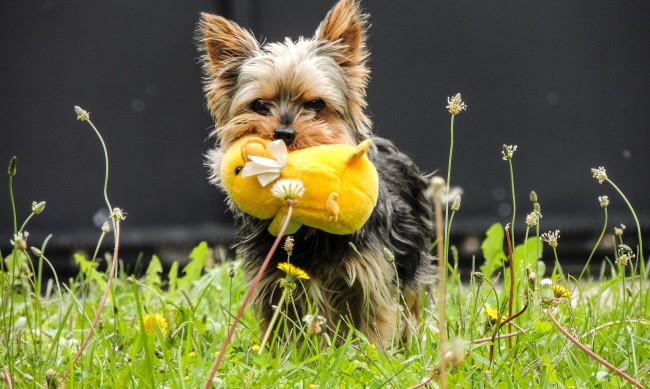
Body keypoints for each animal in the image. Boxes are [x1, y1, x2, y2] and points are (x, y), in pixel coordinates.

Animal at [196, 0, 430, 342]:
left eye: (316, 105)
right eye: (259, 106)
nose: (283, 132)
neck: (306, 227)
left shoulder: (370, 279)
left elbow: (373, 327)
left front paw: (371, 354)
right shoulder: (274, 282)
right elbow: (282, 333)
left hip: (411, 266)